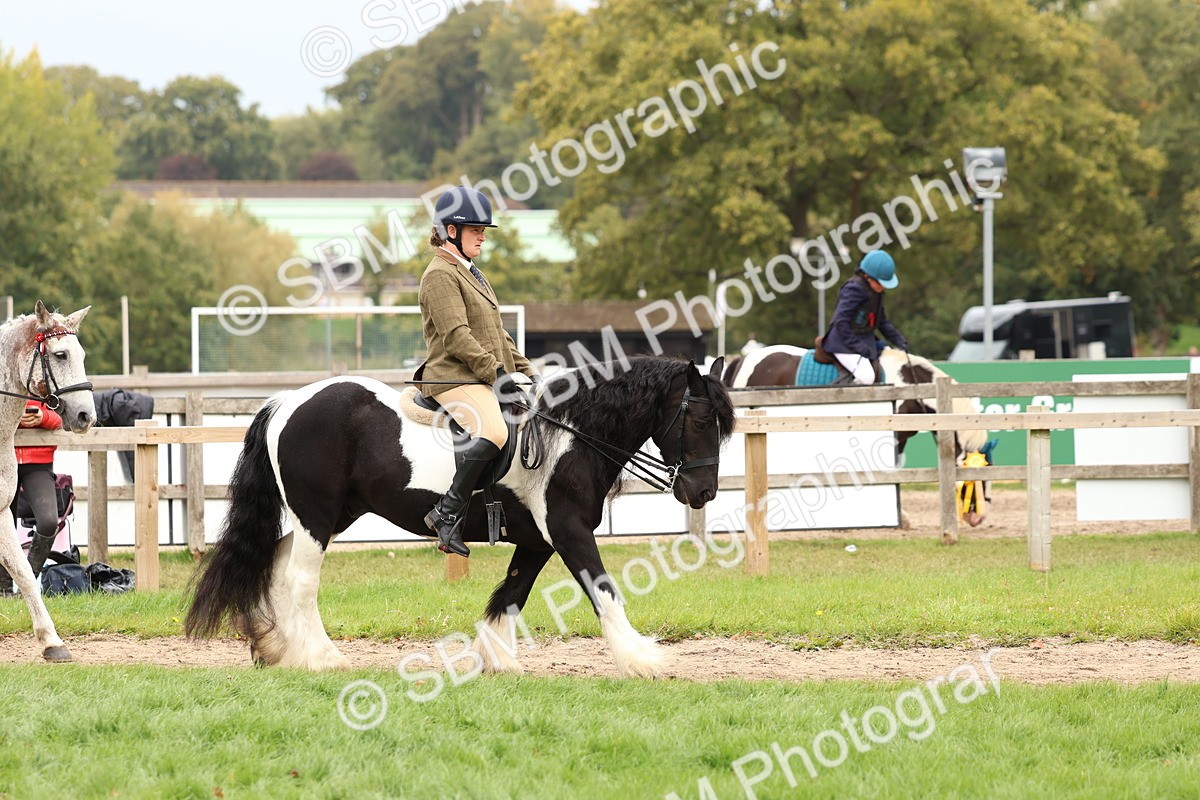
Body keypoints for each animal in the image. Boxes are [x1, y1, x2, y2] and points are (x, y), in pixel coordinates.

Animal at [0, 302, 97, 662]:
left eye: (81, 355)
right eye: (60, 355)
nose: (86, 416)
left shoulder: (2, 512)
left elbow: (24, 573)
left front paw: (51, 642)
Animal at [186, 355, 734, 676]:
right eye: (700, 419)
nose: (703, 491)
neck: (569, 435)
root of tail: (287, 401)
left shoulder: (537, 540)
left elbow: (511, 595)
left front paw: (498, 660)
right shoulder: (568, 531)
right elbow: (603, 589)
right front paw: (643, 659)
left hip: (325, 516)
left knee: (275, 567)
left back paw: (277, 649)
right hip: (317, 516)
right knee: (300, 580)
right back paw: (323, 658)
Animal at [723, 344, 992, 526]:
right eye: (975, 479)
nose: (977, 518)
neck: (910, 386)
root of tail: (744, 358)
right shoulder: (896, 436)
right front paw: (901, 516)